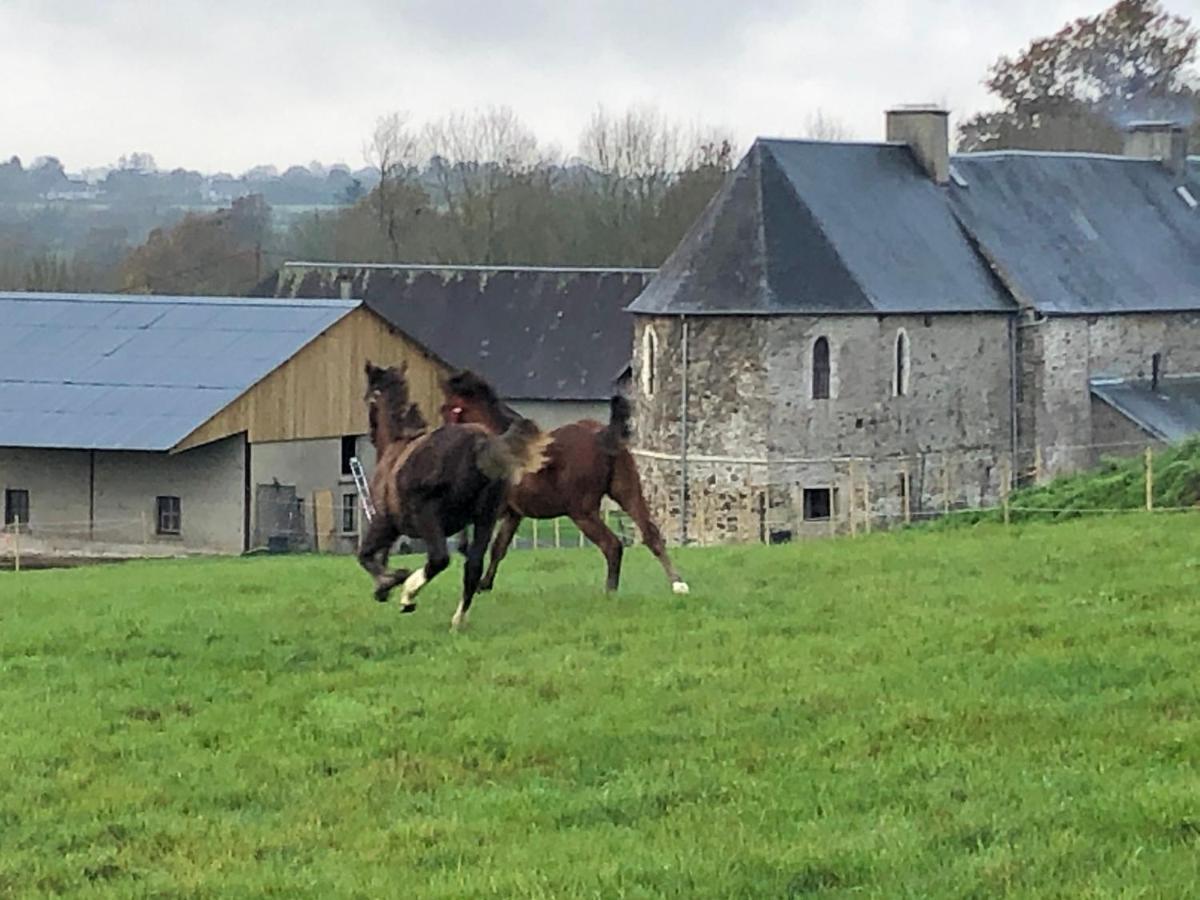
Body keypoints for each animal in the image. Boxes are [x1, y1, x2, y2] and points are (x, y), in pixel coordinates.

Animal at [352, 362, 547, 628]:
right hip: (485, 517)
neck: (395, 446)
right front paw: (384, 587)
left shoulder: (385, 522)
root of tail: (479, 443)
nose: (370, 433)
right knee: (473, 565)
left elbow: (365, 555)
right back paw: (458, 619)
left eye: (368, 398)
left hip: (429, 516)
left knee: (439, 559)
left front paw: (391, 581)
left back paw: (409, 594)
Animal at [441, 372, 691, 600]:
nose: (442, 437)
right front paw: (484, 584)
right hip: (628, 492)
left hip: (582, 511)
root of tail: (602, 435)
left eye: (449, 408)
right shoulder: (514, 513)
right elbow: (499, 548)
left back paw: (610, 592)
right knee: (651, 534)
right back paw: (677, 584)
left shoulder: (495, 508)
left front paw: (468, 558)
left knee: (612, 545)